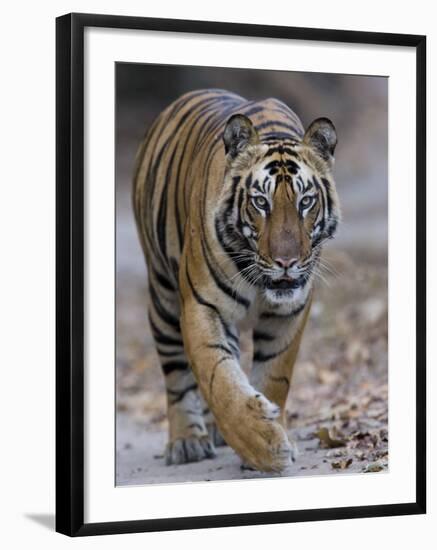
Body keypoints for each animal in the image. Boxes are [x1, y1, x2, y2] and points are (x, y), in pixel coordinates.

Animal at [133, 88, 340, 472]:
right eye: (260, 202)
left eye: (306, 201)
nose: (286, 262)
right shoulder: (202, 306)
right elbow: (218, 378)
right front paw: (263, 446)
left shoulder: (290, 312)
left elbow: (274, 376)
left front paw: (273, 433)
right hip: (163, 299)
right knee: (176, 374)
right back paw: (187, 441)